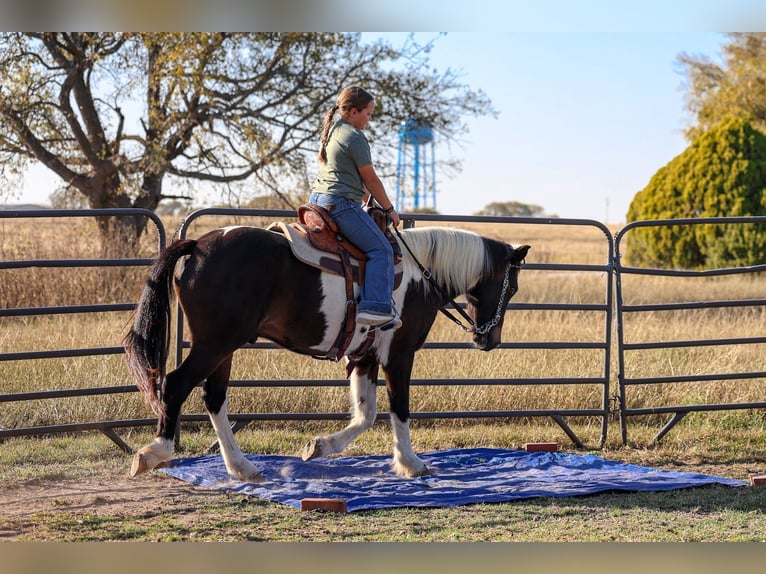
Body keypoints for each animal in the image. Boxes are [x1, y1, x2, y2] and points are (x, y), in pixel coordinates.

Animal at [124, 222, 530, 481]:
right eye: (511, 287)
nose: (489, 339)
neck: (421, 273)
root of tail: (197, 246)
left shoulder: (366, 357)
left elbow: (366, 414)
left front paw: (318, 446)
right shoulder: (399, 354)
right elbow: (399, 409)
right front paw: (411, 463)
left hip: (223, 348)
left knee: (214, 397)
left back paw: (242, 468)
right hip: (215, 343)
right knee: (176, 385)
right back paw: (154, 453)